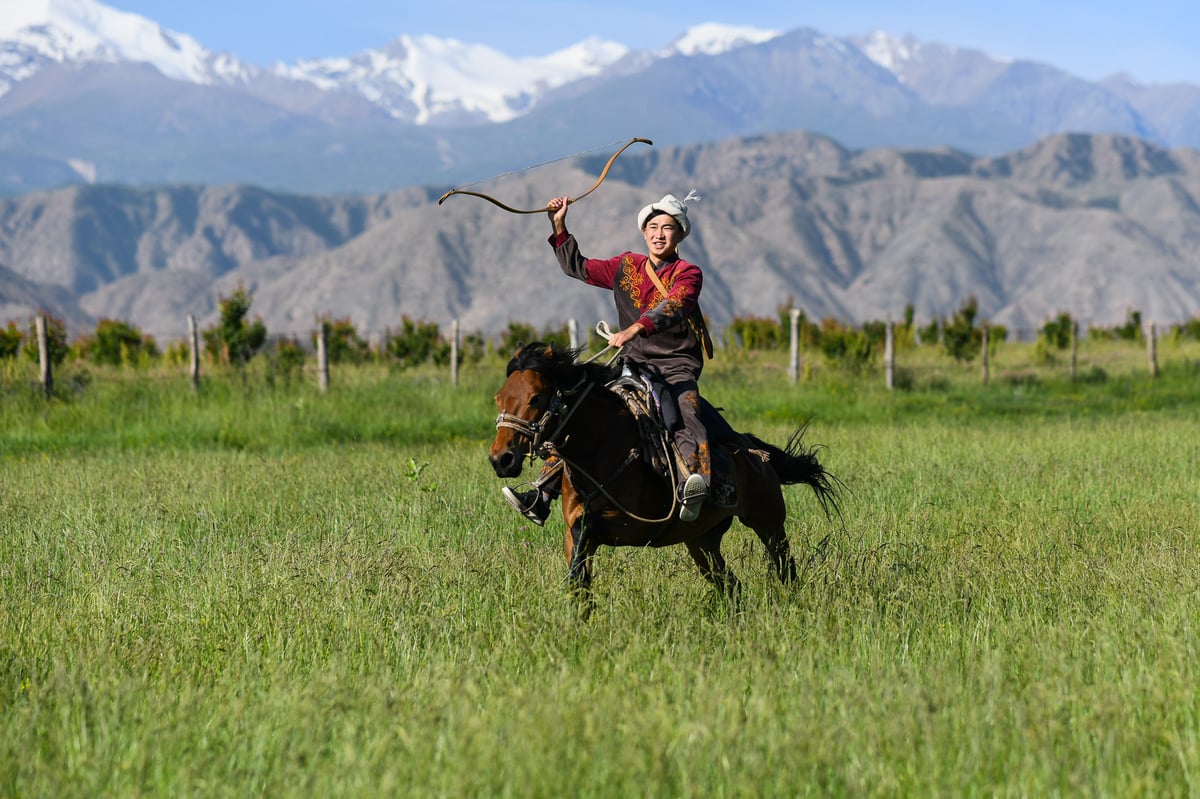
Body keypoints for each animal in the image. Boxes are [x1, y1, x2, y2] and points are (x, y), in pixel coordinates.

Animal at [487, 338, 844, 599]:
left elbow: (588, 538)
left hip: (768, 523)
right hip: (701, 541)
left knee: (786, 571)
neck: (602, 446)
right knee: (730, 585)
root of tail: (756, 454)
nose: (500, 459)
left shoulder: (625, 526)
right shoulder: (572, 536)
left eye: (535, 398)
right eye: (499, 397)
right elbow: (579, 586)